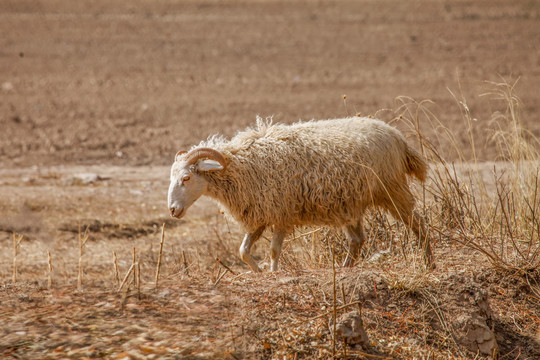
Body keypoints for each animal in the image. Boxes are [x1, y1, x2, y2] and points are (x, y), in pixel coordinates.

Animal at [169, 116, 434, 272]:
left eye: (186, 178)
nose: (172, 210)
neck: (240, 165)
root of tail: (397, 137)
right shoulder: (261, 213)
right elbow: (243, 252)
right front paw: (259, 272)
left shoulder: (281, 213)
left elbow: (274, 250)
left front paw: (274, 273)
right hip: (349, 203)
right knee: (357, 240)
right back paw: (345, 268)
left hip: (393, 190)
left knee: (418, 224)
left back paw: (428, 262)